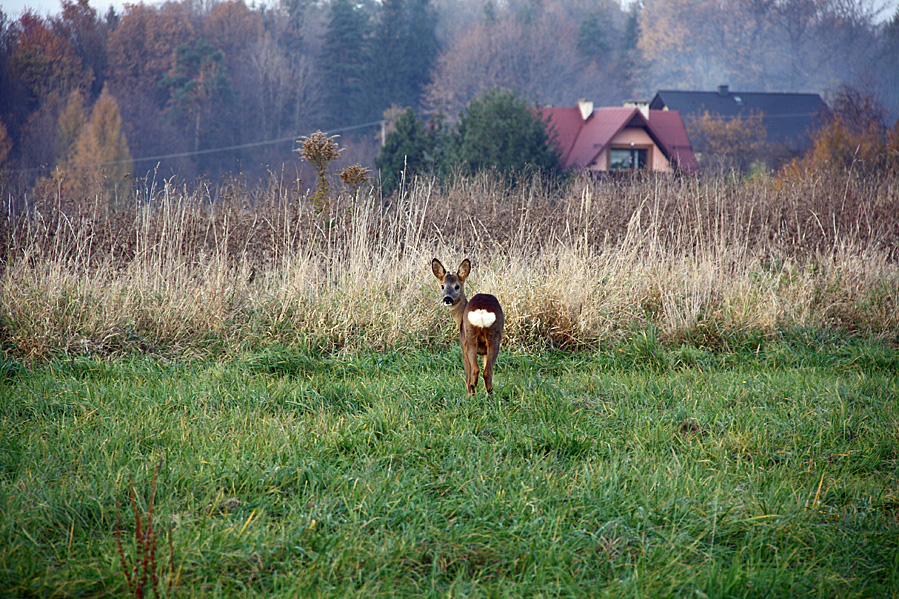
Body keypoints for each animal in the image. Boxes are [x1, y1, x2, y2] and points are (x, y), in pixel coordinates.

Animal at [430, 256, 502, 394]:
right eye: (442, 286)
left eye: (457, 286)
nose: (447, 299)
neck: (459, 318)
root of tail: (481, 310)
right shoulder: (484, 352)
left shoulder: (462, 346)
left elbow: (467, 374)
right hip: (494, 336)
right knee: (487, 373)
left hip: (470, 337)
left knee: (474, 371)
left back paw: (471, 393)